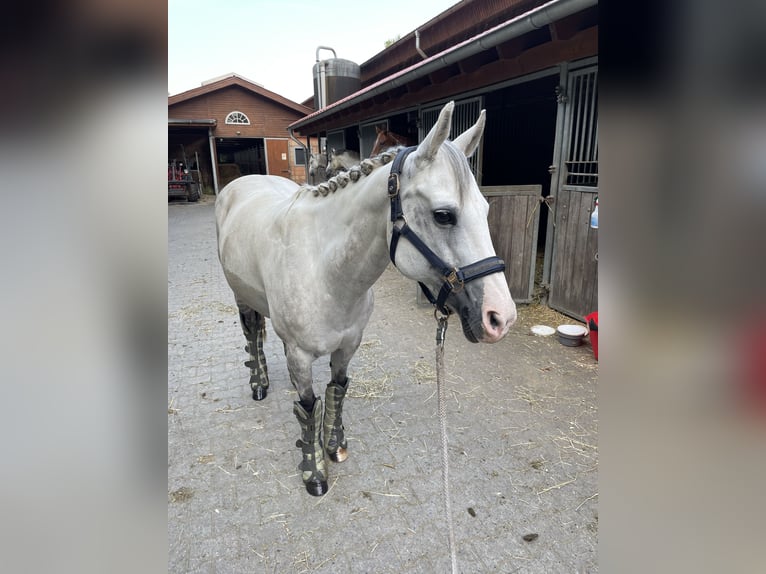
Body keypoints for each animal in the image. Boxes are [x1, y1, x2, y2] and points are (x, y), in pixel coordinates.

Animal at [216, 101, 516, 498]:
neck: (325, 270)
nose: (501, 317)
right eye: (443, 215)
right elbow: (308, 407)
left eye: (485, 210)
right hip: (241, 297)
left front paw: (334, 446)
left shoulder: (348, 345)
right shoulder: (300, 354)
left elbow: (337, 391)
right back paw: (259, 384)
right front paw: (315, 472)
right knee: (252, 332)